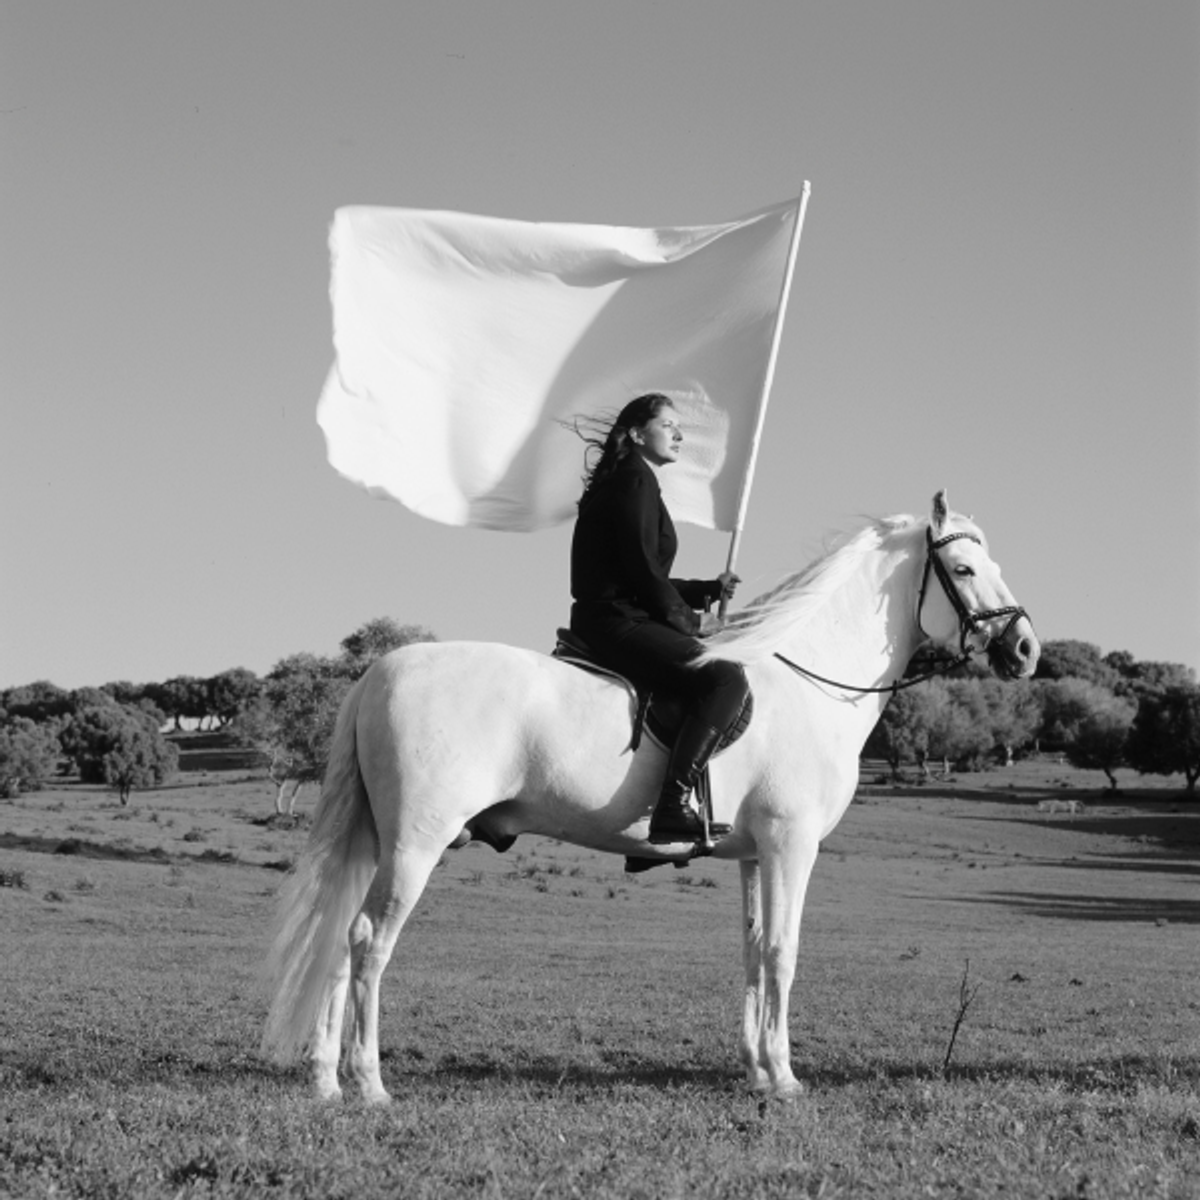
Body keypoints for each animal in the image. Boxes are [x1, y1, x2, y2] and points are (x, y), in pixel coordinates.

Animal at [265, 487, 1041, 1099]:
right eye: (964, 569)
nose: (1027, 649)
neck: (808, 680)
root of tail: (378, 670)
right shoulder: (789, 847)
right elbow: (783, 952)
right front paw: (786, 1077)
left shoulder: (753, 855)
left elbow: (753, 954)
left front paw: (757, 1071)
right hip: (415, 844)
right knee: (369, 940)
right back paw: (368, 1082)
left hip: (379, 843)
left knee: (341, 938)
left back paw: (327, 1082)